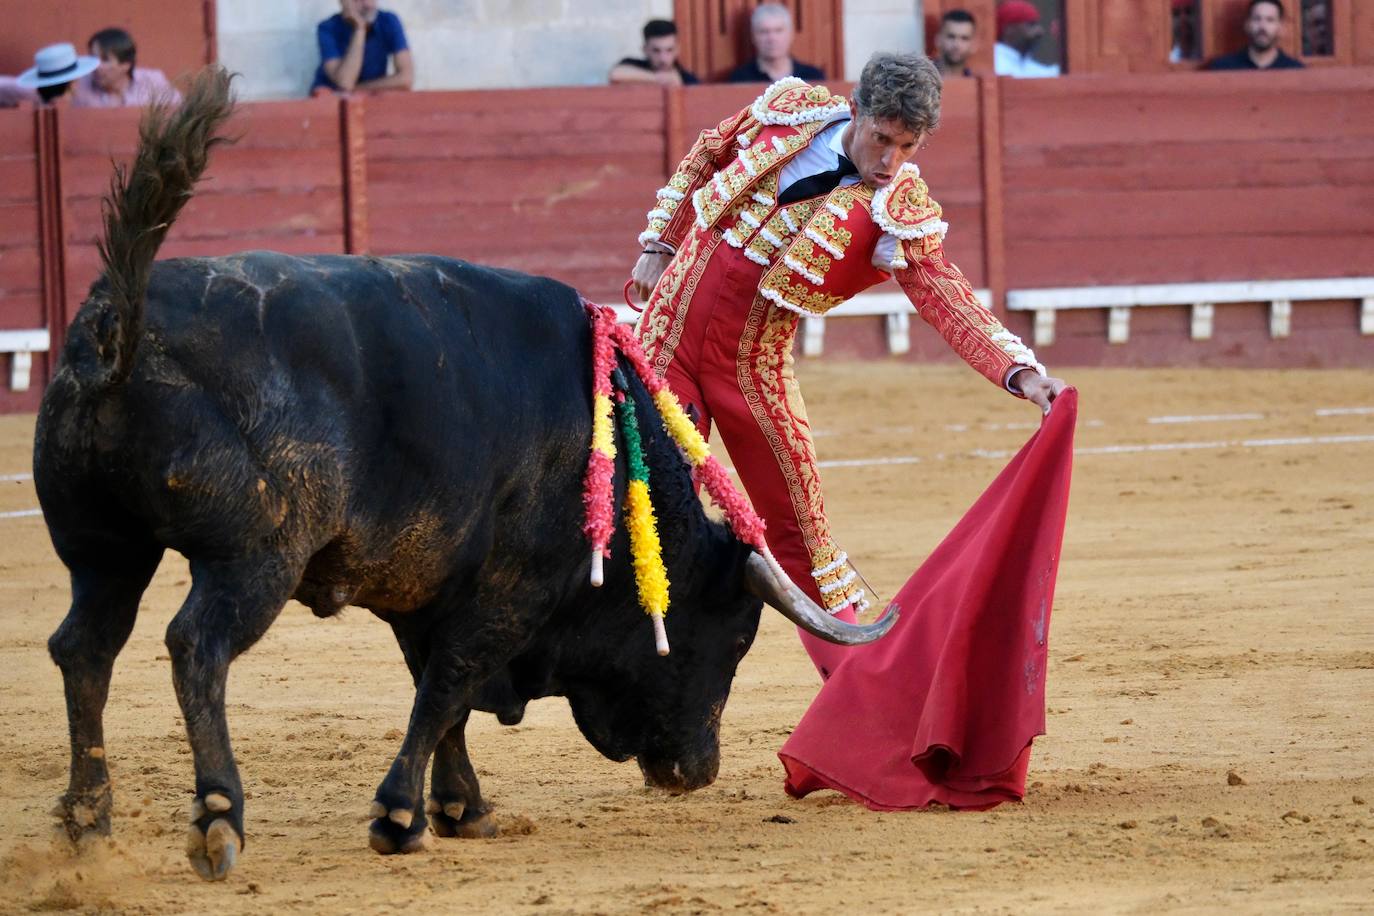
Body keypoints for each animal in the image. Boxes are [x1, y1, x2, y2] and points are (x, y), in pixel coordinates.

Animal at [32, 70, 895, 878]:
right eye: (737, 636)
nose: (699, 770)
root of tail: (120, 324)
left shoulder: (431, 582)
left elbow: (437, 689)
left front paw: (461, 807)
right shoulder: (510, 588)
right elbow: (450, 683)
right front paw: (400, 816)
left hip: (104, 550)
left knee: (84, 649)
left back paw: (87, 817)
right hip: (252, 559)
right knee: (195, 646)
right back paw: (217, 816)